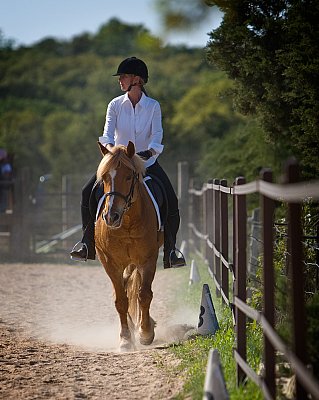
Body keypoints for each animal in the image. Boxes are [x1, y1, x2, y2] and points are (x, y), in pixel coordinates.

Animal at [95, 141, 164, 350]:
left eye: (128, 176)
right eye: (104, 177)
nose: (111, 216)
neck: (126, 223)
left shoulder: (148, 260)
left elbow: (144, 294)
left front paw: (146, 333)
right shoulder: (110, 263)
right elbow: (121, 300)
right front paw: (125, 339)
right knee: (126, 287)